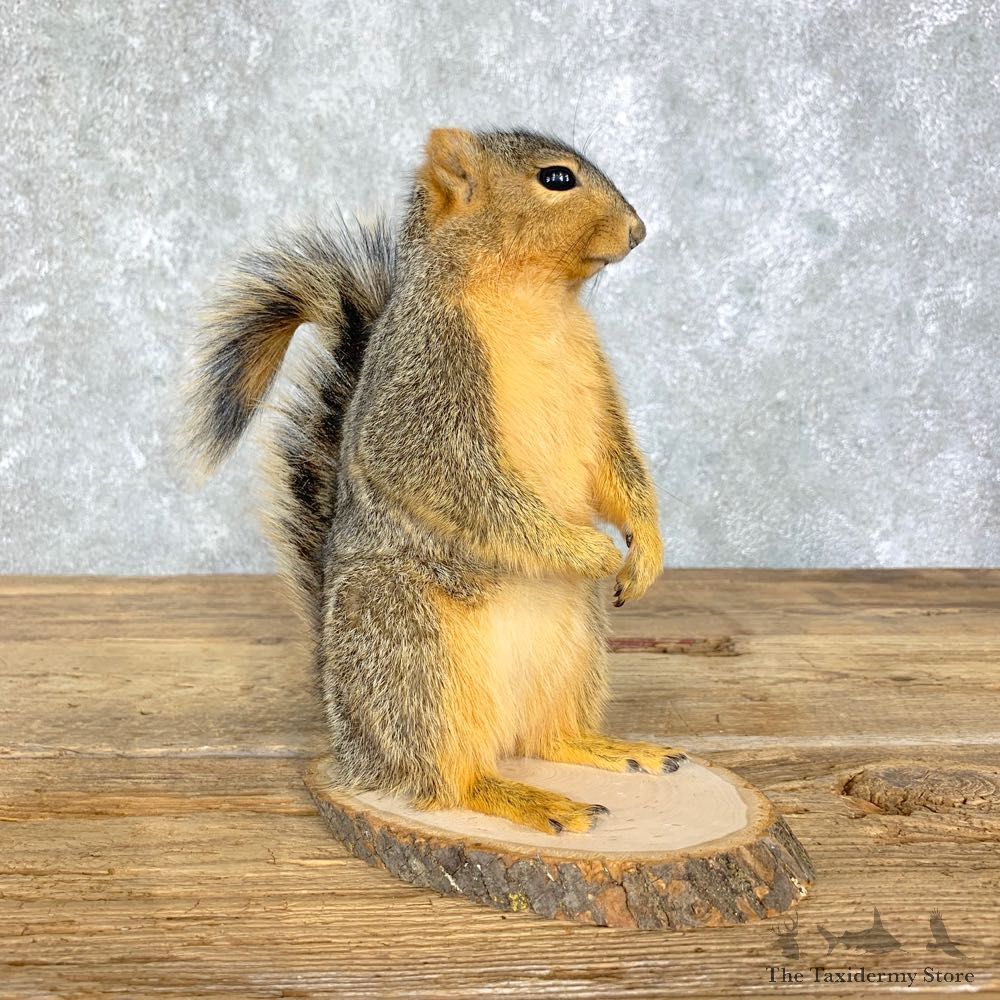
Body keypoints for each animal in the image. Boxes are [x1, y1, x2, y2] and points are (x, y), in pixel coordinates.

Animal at [185, 127, 685, 834]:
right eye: (557, 179)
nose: (639, 232)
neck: (532, 300)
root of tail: (346, 732)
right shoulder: (424, 378)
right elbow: (447, 477)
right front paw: (585, 548)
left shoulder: (596, 385)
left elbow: (619, 467)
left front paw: (646, 549)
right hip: (410, 647)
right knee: (446, 778)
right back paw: (523, 799)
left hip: (573, 650)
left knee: (546, 739)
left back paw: (606, 750)